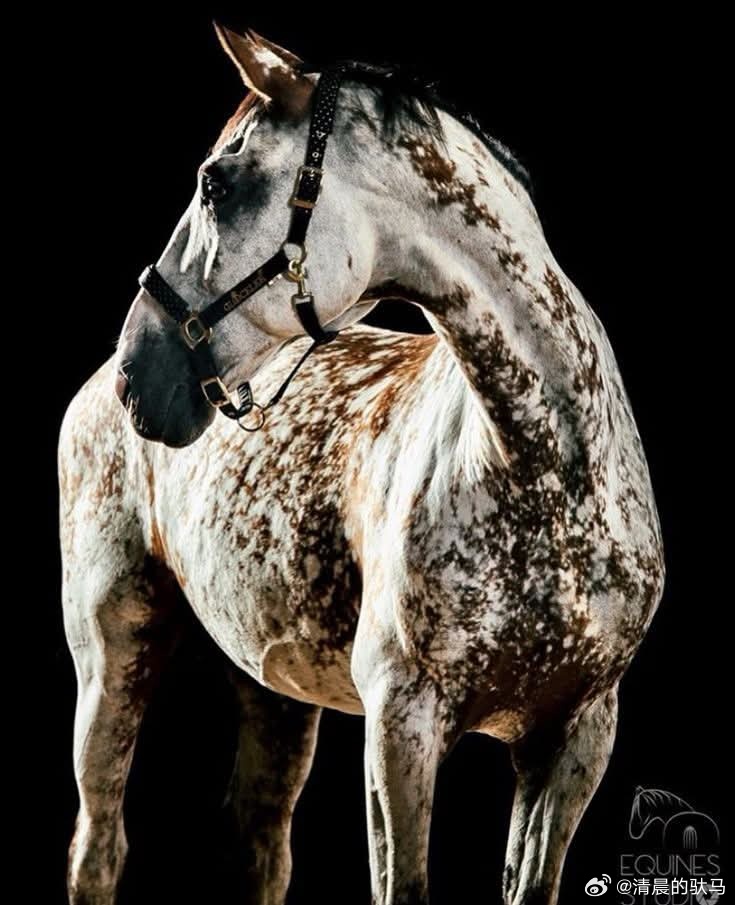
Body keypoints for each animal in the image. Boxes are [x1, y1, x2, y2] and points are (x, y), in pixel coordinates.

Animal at [59, 26, 665, 905]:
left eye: (214, 181)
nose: (141, 371)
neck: (548, 481)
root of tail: (86, 392)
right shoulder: (400, 726)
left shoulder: (575, 739)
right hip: (111, 654)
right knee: (97, 847)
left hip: (272, 692)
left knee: (258, 848)